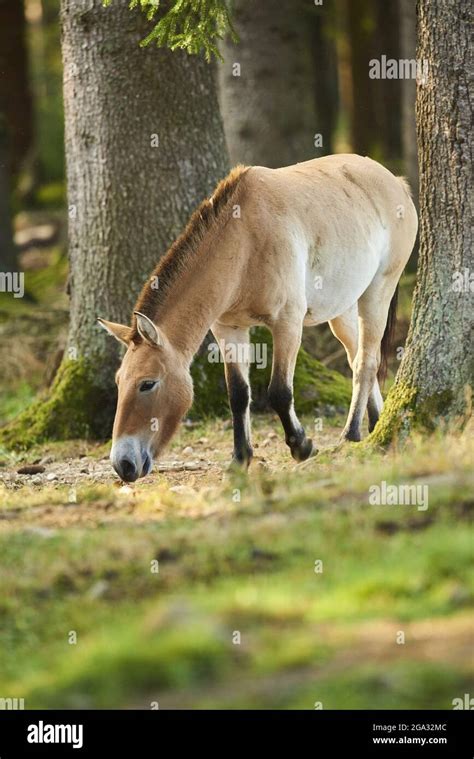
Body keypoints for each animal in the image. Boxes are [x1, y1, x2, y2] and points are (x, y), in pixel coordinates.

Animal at [98, 156, 416, 480]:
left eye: (147, 383)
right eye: (119, 381)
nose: (123, 464)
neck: (245, 240)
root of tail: (396, 182)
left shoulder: (287, 324)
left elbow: (279, 392)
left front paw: (302, 447)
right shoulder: (229, 329)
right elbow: (238, 394)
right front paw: (240, 458)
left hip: (377, 292)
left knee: (367, 362)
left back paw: (350, 435)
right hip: (342, 309)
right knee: (357, 357)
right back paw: (376, 423)